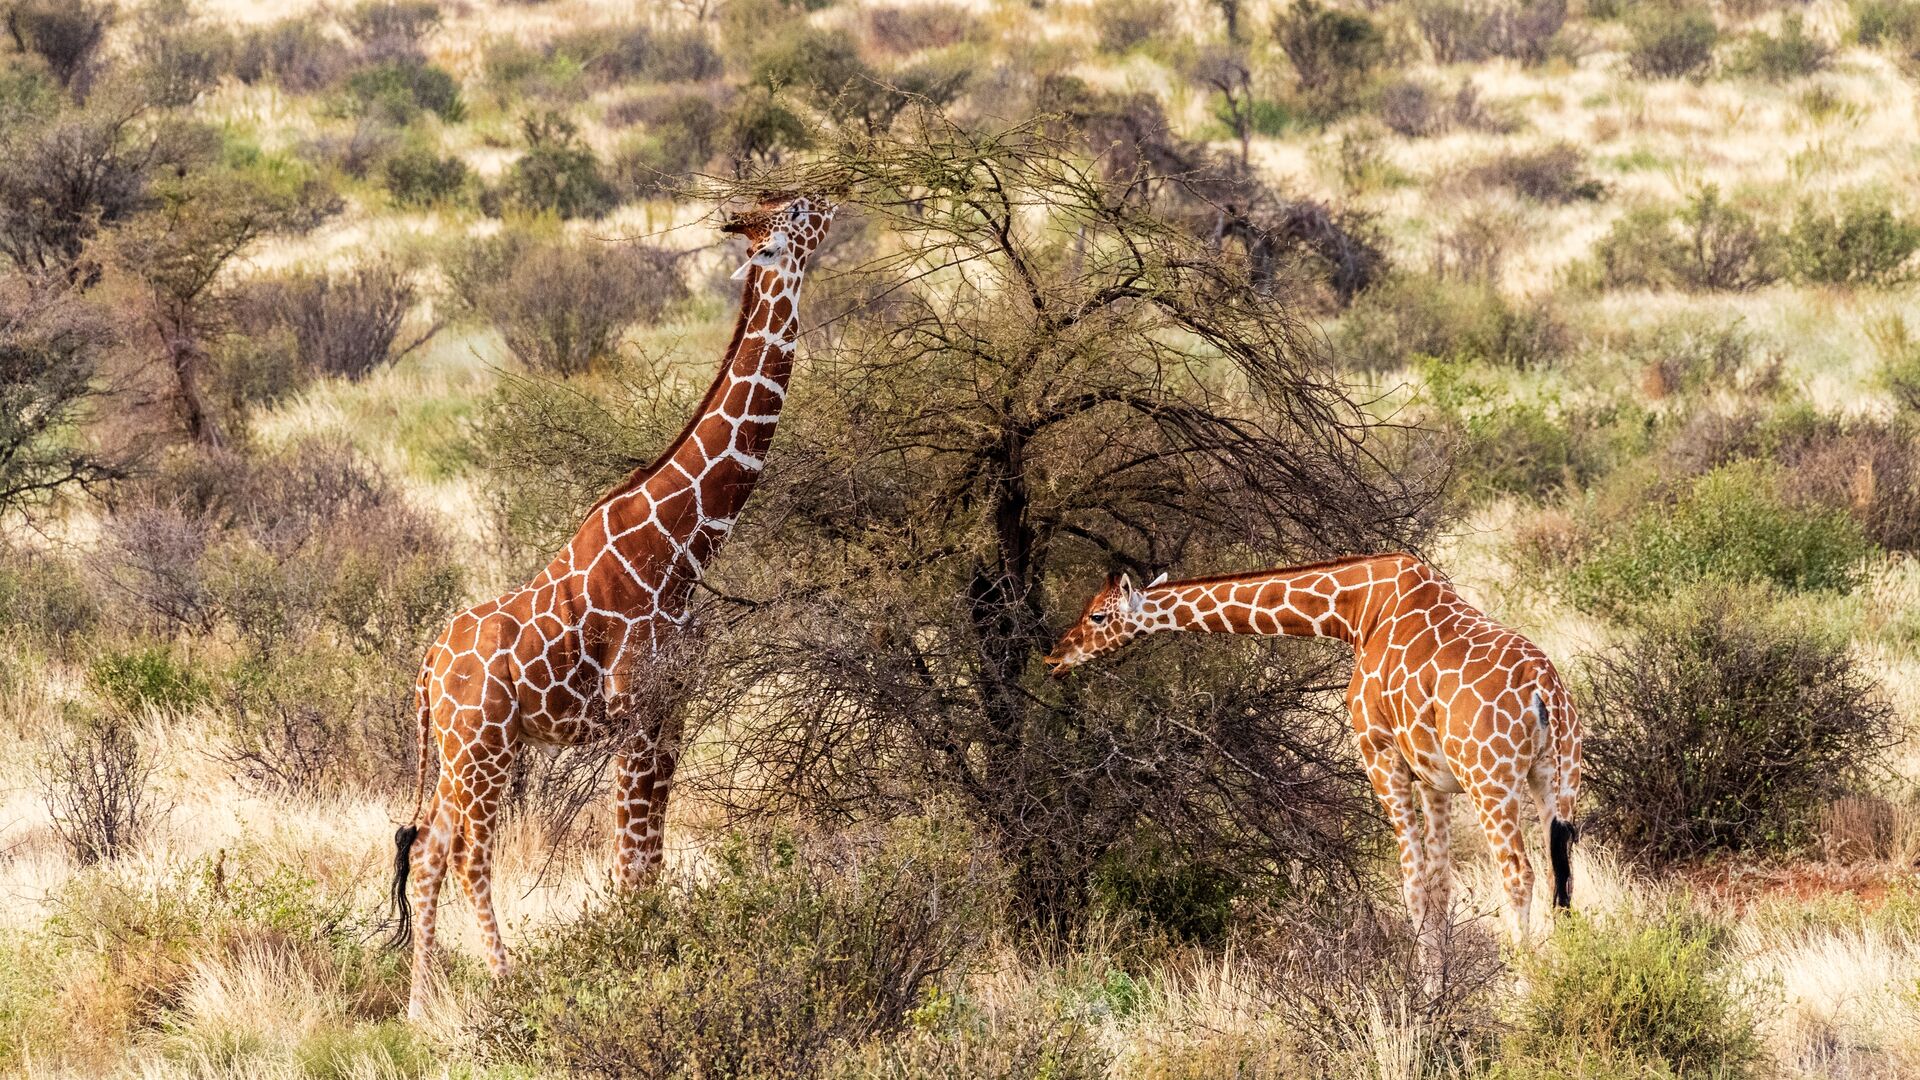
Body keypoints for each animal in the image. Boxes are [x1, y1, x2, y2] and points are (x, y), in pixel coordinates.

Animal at [387, 195, 834, 1020]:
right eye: (795, 210)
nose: (836, 197)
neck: (683, 547)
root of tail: (428, 667)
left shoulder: (675, 707)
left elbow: (648, 858)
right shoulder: (635, 711)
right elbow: (630, 860)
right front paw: (634, 970)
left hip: (466, 752)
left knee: (428, 846)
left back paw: (422, 1010)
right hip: (485, 749)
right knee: (466, 854)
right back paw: (507, 988)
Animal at [1043, 553, 1581, 943]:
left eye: (1097, 615)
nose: (1054, 657)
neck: (1356, 612)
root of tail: (1544, 689)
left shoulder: (1380, 754)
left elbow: (1411, 887)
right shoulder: (1433, 778)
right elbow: (1439, 887)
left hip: (1491, 780)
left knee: (1519, 875)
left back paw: (1523, 989)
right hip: (1556, 778)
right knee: (1564, 874)